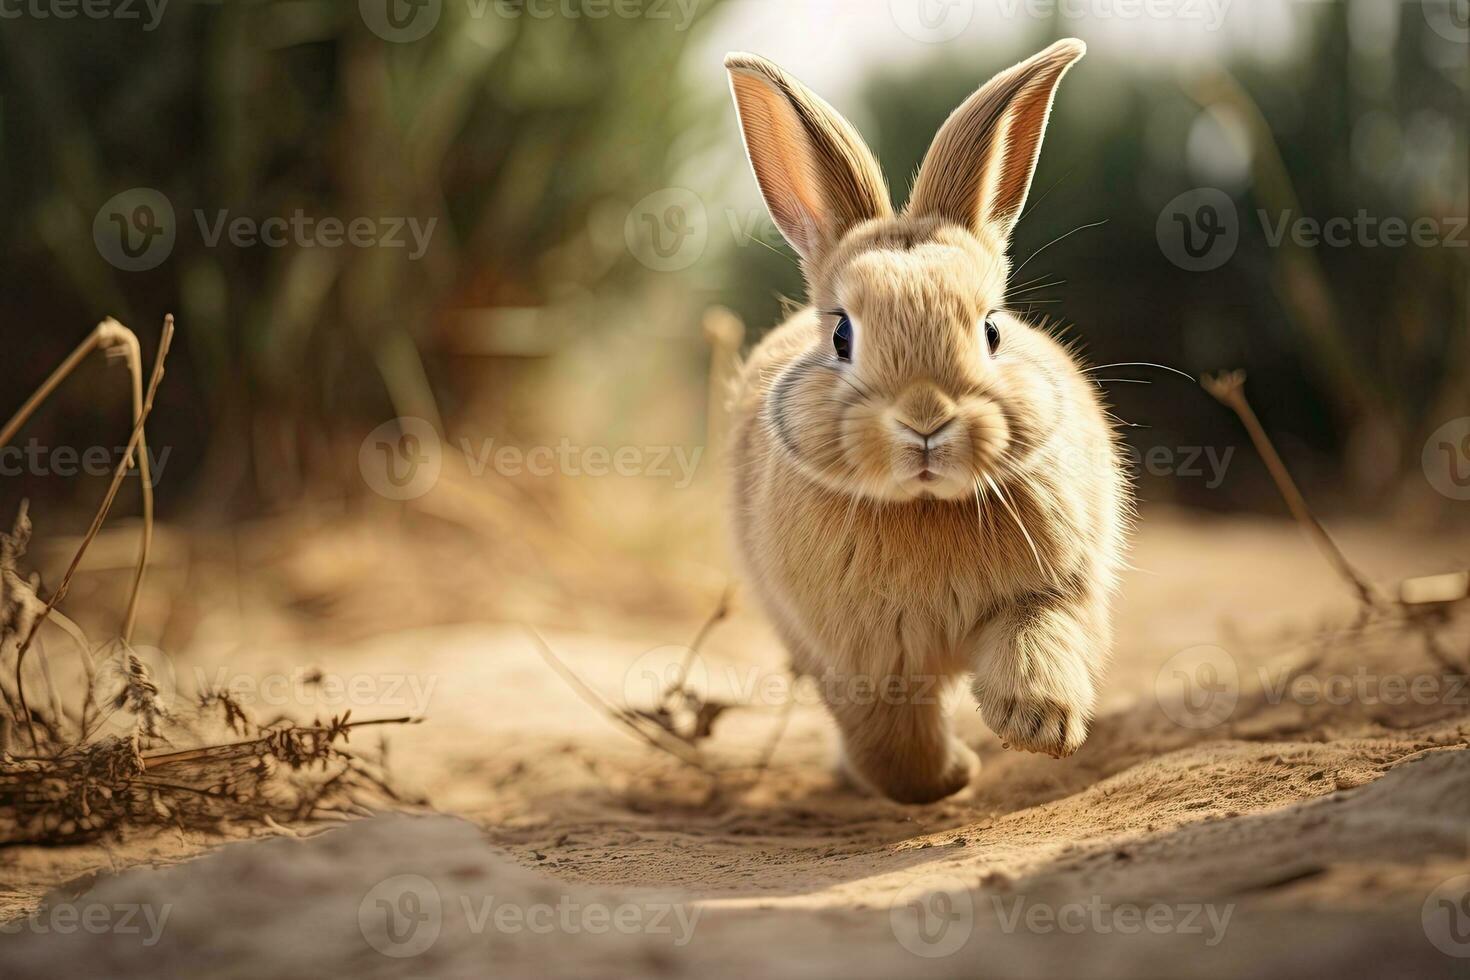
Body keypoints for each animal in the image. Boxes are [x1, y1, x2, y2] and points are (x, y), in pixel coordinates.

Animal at [720, 40, 1123, 805]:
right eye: (842, 335)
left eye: (992, 330)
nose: (927, 421)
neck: (925, 505)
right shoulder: (857, 659)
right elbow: (894, 749)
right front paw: (952, 775)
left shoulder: (1055, 588)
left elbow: (1039, 641)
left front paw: (1038, 726)